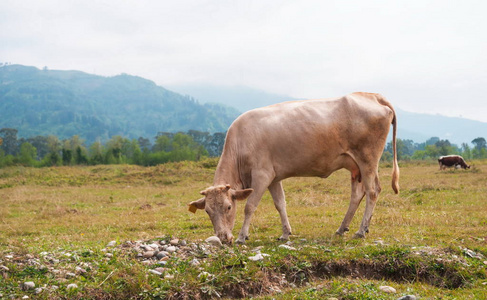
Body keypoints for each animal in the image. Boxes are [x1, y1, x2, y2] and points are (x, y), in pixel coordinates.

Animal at [189, 92, 398, 245]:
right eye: (207, 211)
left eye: (229, 207)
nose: (223, 238)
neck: (240, 144)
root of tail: (371, 95)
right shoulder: (273, 178)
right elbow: (280, 204)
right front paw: (285, 233)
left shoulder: (262, 175)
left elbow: (250, 206)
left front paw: (242, 236)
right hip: (355, 166)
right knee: (357, 194)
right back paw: (342, 229)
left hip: (368, 159)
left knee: (373, 191)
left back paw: (361, 230)